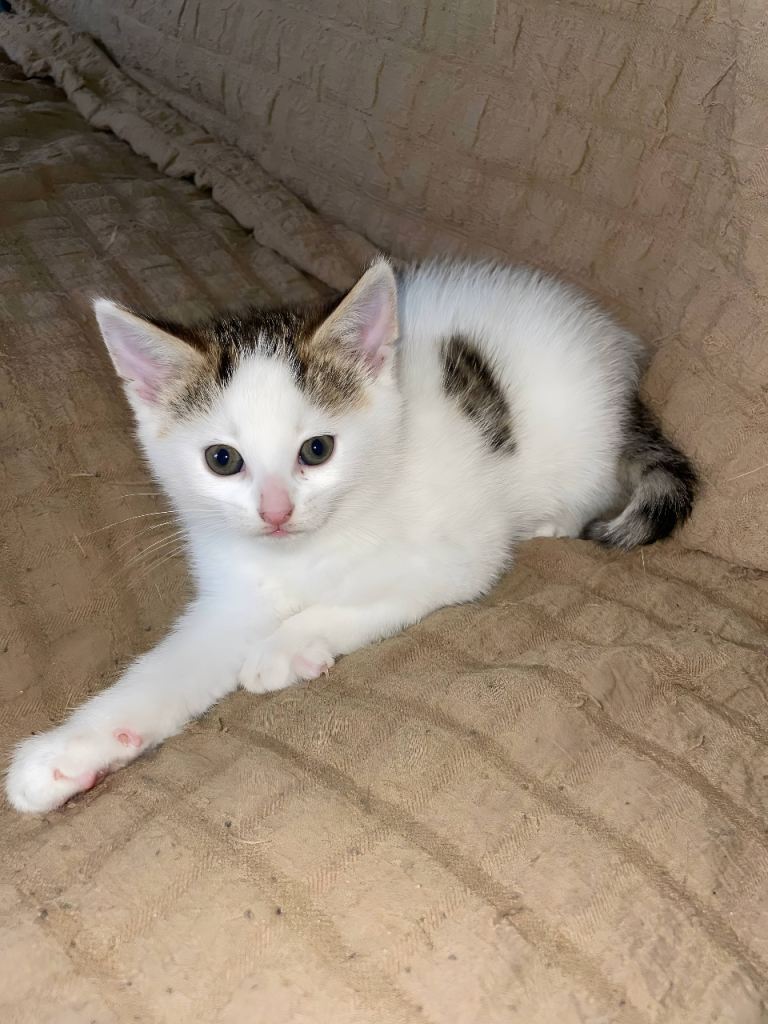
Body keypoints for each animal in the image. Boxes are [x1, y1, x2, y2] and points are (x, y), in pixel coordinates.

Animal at [5, 258, 696, 812]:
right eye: (222, 460)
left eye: (317, 450)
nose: (276, 511)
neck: (305, 550)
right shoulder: (236, 595)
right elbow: (169, 668)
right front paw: (67, 751)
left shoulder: (458, 557)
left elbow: (371, 595)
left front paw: (287, 646)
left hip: (579, 445)